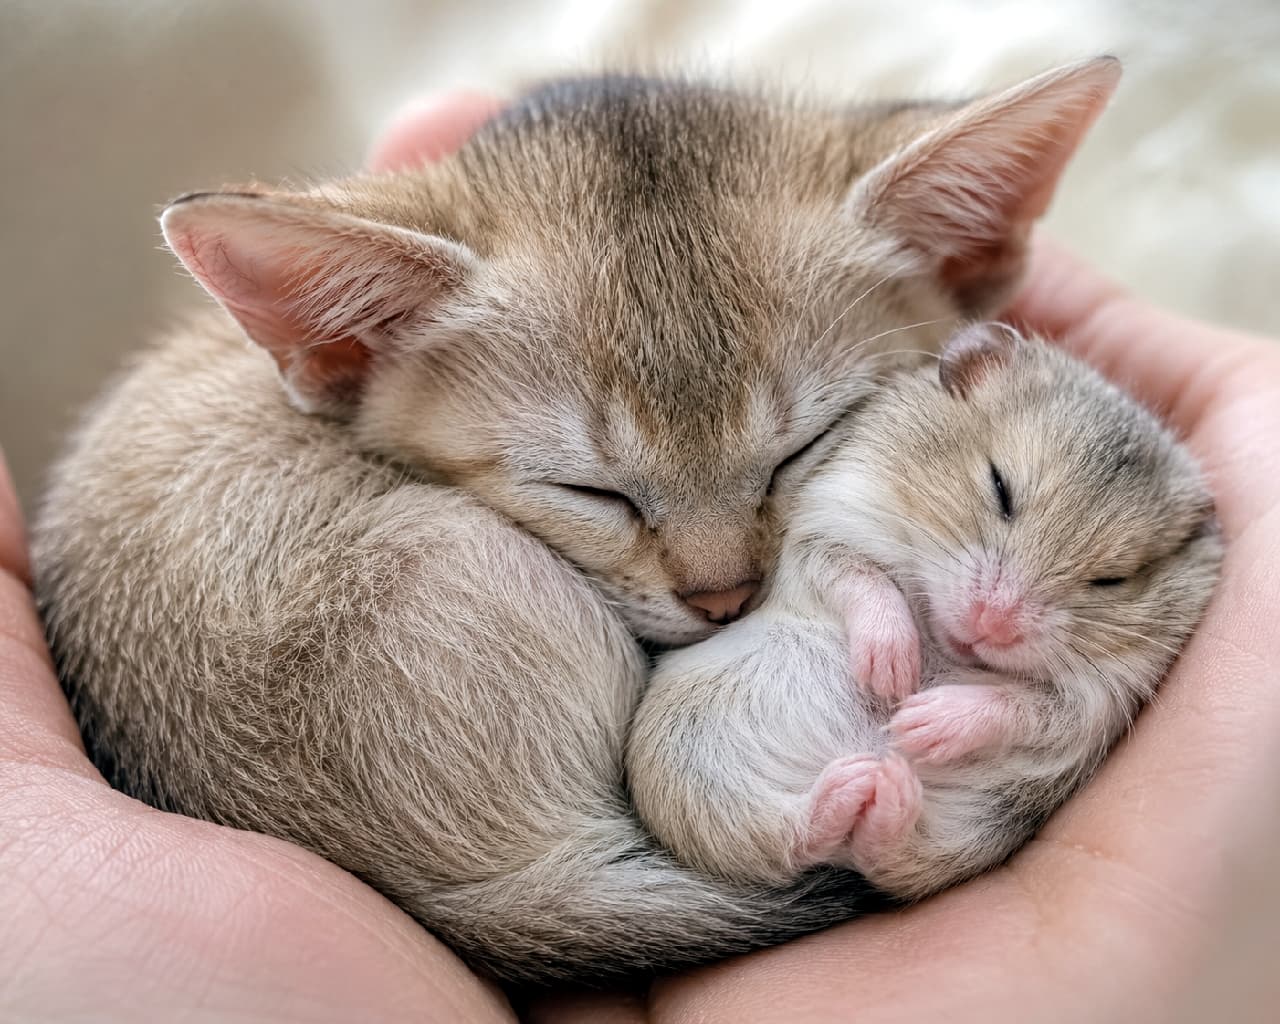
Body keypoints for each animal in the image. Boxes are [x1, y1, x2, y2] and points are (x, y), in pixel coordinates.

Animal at [627, 323, 1222, 899]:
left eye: (1113, 579)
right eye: (999, 486)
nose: (991, 624)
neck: (939, 635)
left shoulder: (1096, 702)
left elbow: (1022, 706)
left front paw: (917, 721)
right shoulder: (819, 533)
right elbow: (863, 580)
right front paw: (893, 675)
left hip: (974, 831)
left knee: (887, 860)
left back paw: (886, 787)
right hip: (688, 772)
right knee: (782, 843)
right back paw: (860, 781)